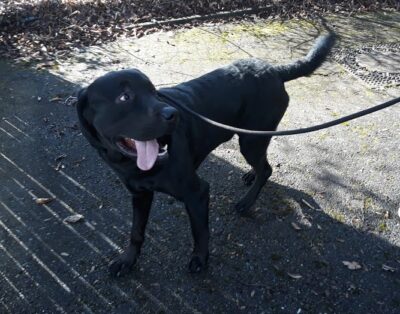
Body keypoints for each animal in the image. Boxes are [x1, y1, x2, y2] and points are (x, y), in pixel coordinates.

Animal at [76, 33, 336, 276]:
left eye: (154, 92)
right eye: (124, 97)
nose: (173, 115)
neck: (133, 165)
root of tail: (274, 70)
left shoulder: (197, 192)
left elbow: (200, 231)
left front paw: (200, 259)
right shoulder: (139, 195)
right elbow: (136, 232)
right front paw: (127, 260)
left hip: (251, 140)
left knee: (267, 169)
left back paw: (247, 201)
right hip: (254, 138)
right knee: (263, 164)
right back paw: (250, 176)